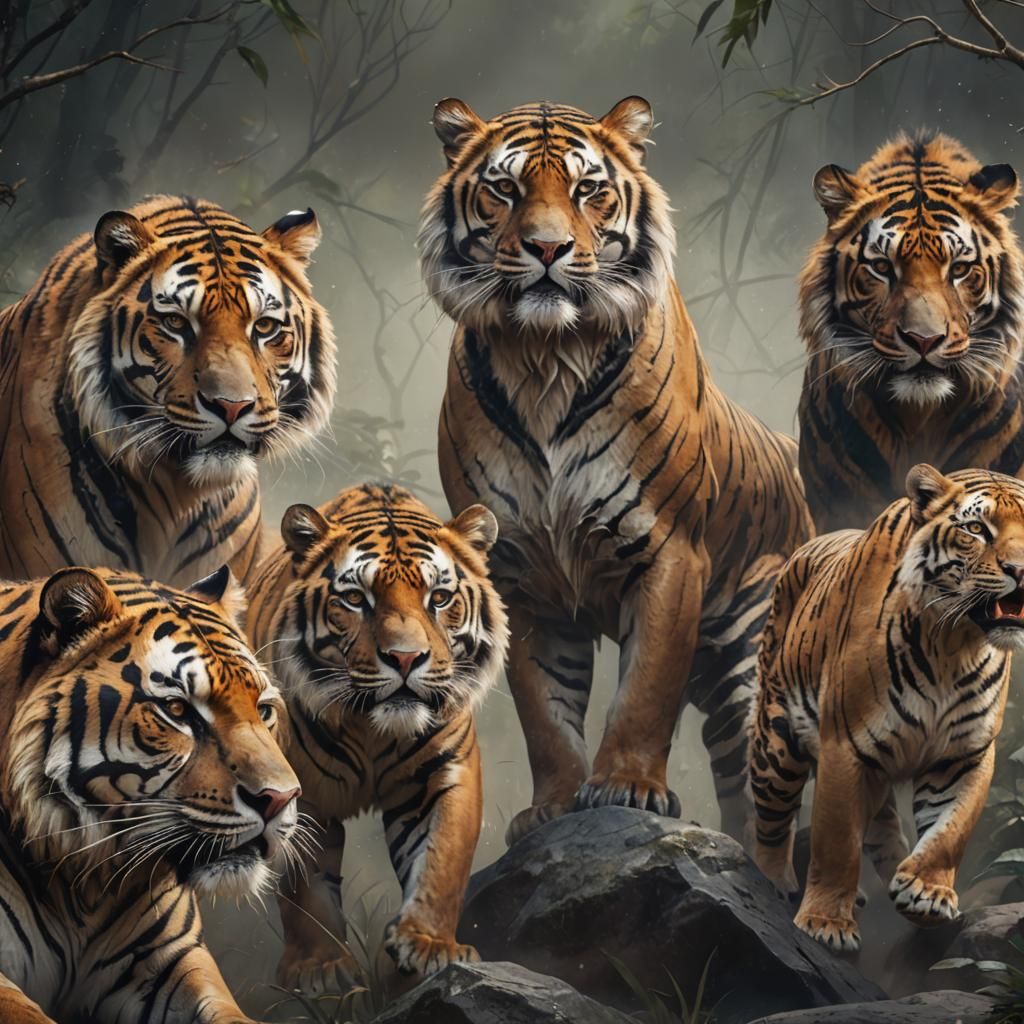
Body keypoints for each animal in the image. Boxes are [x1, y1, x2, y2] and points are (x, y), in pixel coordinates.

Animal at [244, 483, 508, 991]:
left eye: (439, 598)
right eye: (354, 598)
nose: (405, 658)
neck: (372, 728)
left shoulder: (446, 772)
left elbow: (442, 859)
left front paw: (429, 946)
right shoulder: (296, 792)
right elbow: (306, 889)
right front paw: (322, 969)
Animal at [418, 96, 813, 842]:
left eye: (586, 190)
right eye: (504, 188)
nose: (547, 249)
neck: (545, 359)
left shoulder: (669, 551)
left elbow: (645, 690)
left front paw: (629, 788)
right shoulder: (520, 574)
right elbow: (543, 712)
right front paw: (553, 806)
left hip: (753, 665)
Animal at [749, 464, 1024, 952]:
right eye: (976, 529)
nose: (1021, 571)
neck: (955, 644)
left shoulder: (967, 752)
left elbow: (952, 828)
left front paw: (926, 892)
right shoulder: (844, 745)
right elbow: (837, 840)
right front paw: (825, 924)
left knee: (881, 827)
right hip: (777, 739)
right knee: (771, 819)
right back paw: (772, 884)